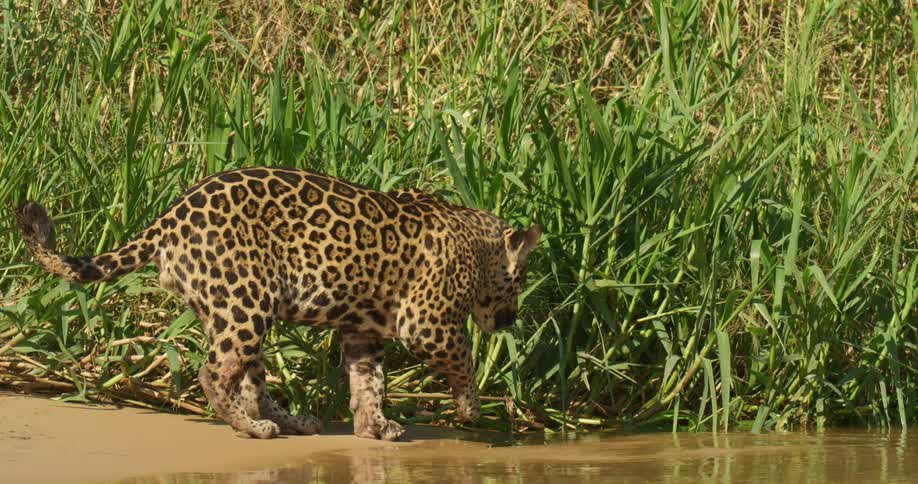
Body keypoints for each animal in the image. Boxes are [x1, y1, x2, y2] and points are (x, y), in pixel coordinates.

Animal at [15, 166, 541, 441]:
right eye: (521, 282)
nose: (511, 319)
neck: (480, 245)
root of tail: (169, 218)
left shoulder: (363, 331)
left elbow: (368, 381)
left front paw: (373, 426)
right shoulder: (426, 323)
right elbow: (464, 356)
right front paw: (471, 409)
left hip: (235, 308)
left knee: (250, 379)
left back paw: (292, 421)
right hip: (245, 304)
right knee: (213, 372)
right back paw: (251, 427)